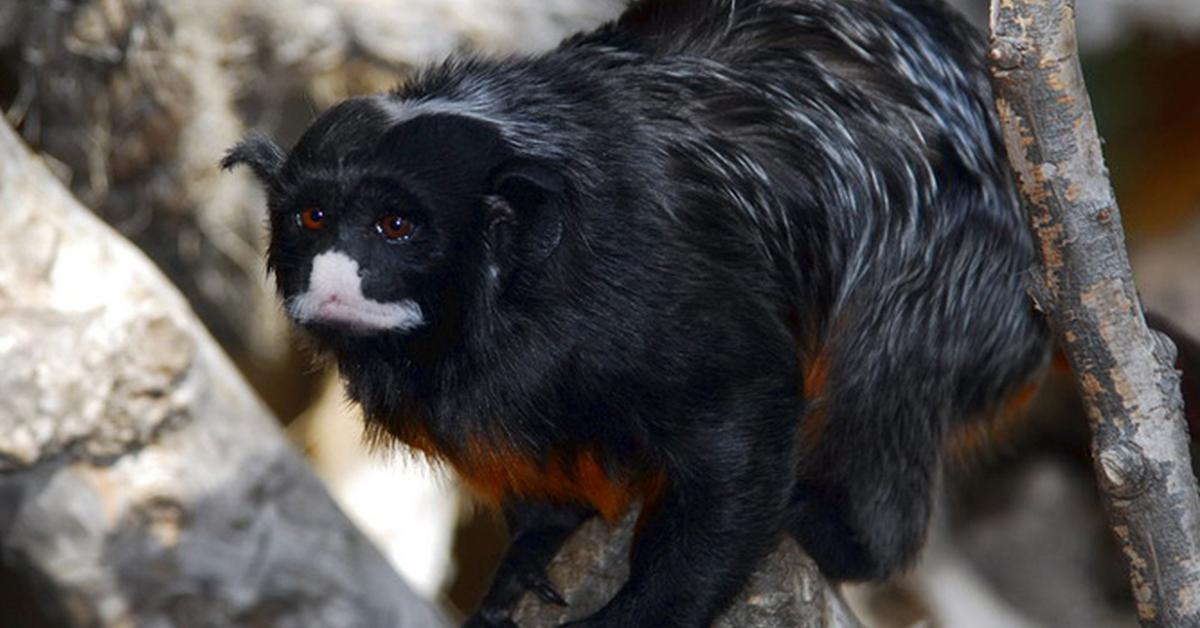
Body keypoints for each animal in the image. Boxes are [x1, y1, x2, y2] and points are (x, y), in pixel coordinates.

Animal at [225, 1, 1142, 624]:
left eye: (396, 227)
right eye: (313, 219)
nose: (336, 276)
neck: (508, 301)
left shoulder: (648, 299)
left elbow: (746, 424)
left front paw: (642, 613)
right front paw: (531, 550)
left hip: (982, 282)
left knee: (889, 353)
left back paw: (847, 533)